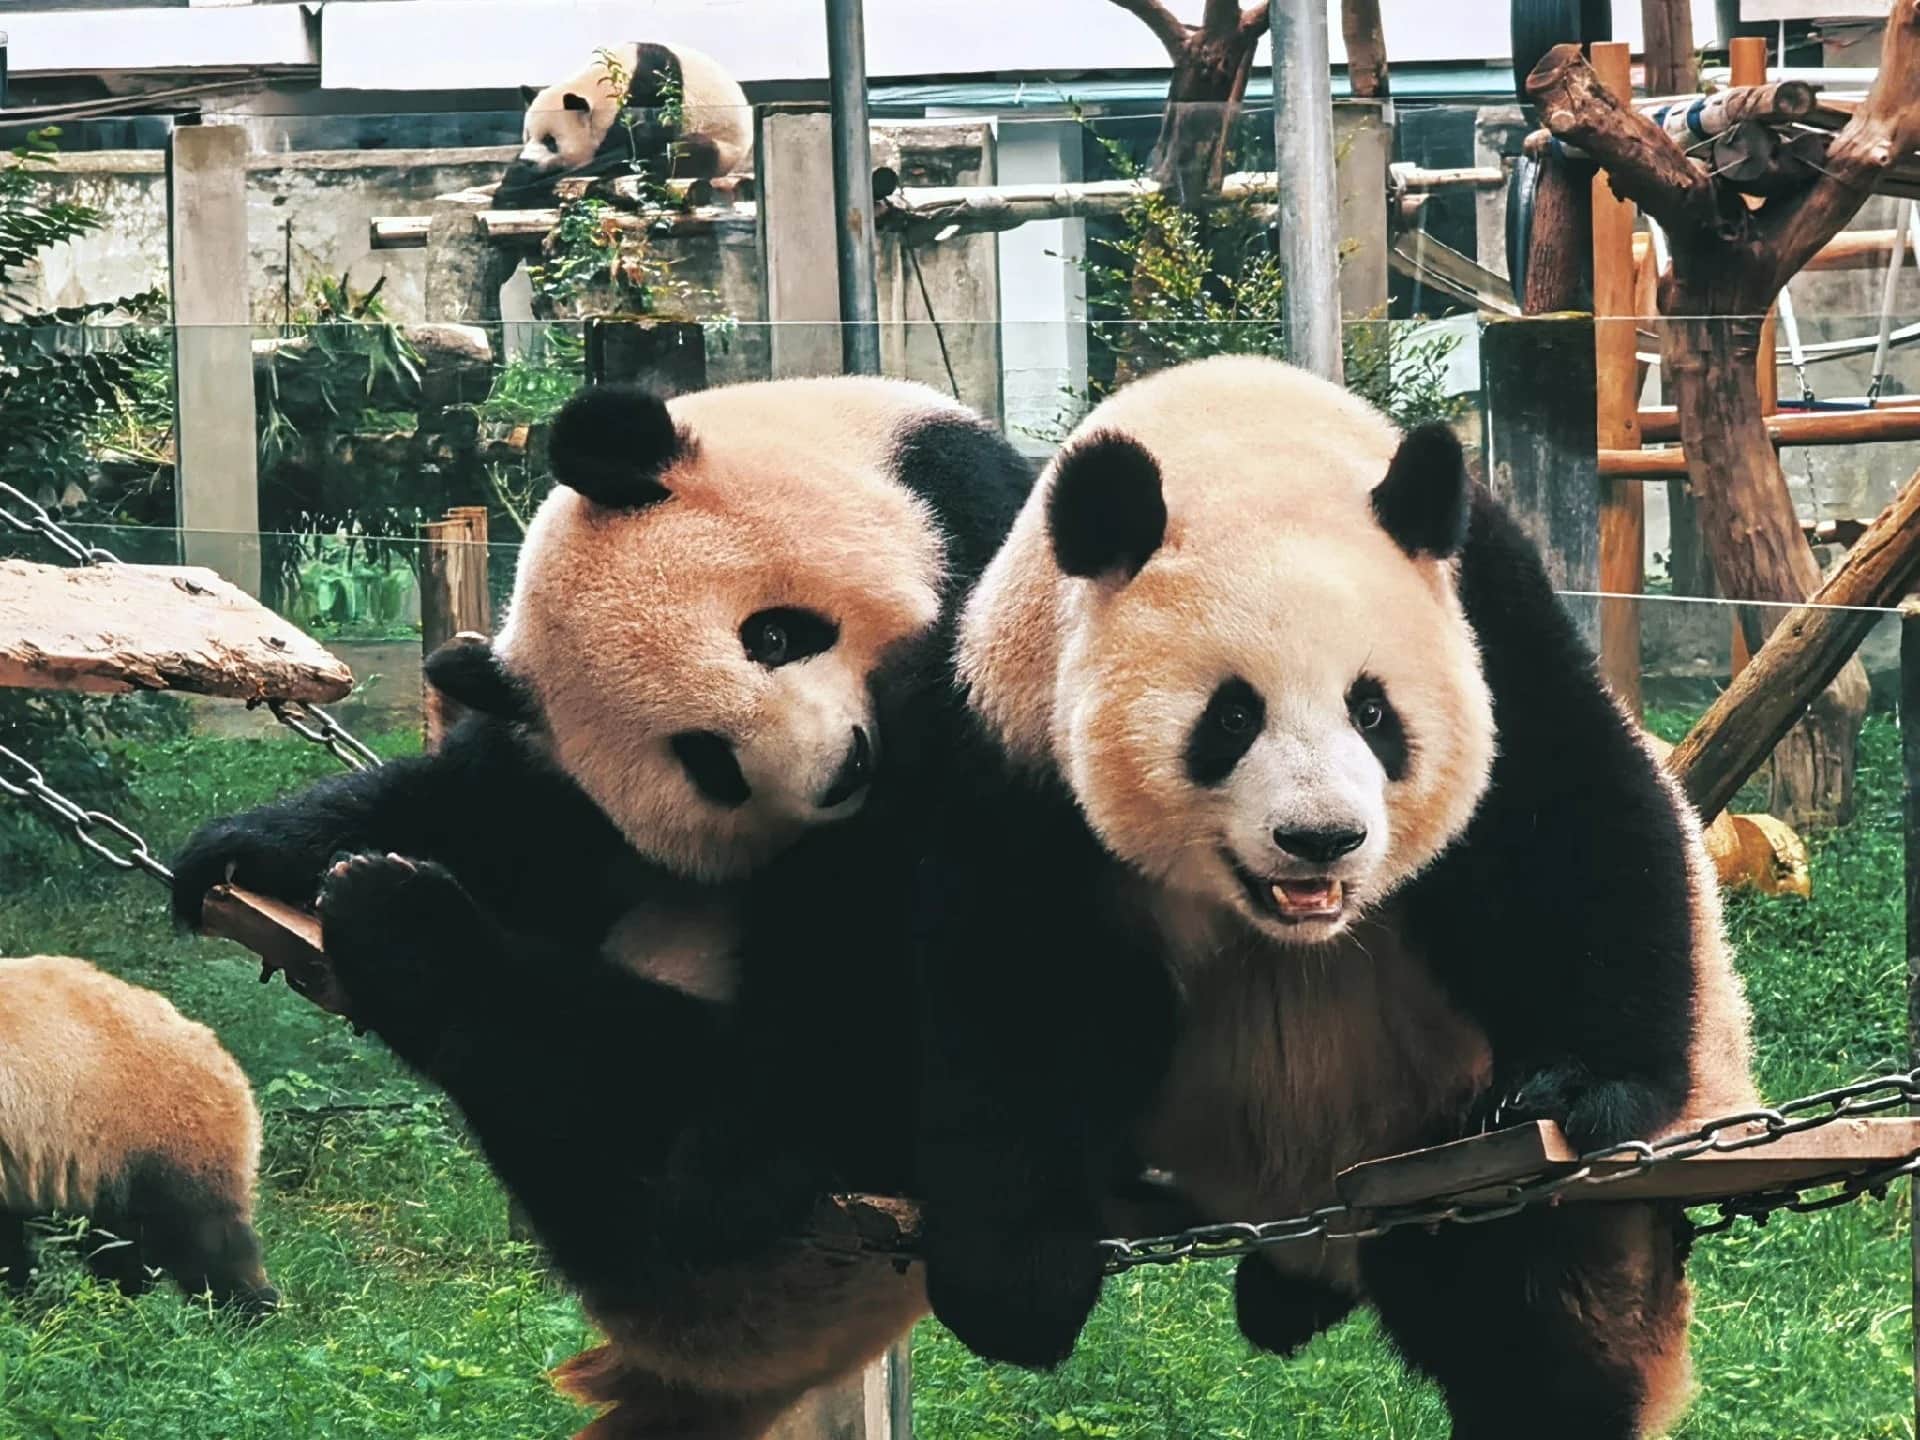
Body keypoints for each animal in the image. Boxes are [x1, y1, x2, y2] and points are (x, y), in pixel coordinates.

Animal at [171, 375, 1034, 1439]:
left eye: (775, 634)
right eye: (706, 763)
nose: (843, 771)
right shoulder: (560, 785)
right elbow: (495, 814)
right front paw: (250, 845)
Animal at [499, 42, 752, 204]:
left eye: (551, 141)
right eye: (527, 136)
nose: (528, 161)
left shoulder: (654, 89)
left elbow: (638, 147)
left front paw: (519, 182)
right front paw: (517, 172)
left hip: (722, 143)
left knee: (688, 152)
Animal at [913, 355, 1757, 1438]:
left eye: (1373, 711)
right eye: (1231, 715)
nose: (1321, 838)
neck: (1236, 439)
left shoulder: (1487, 617)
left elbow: (1567, 822)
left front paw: (1576, 1086)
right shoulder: (1017, 726)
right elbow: (1009, 974)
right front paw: (1018, 1278)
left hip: (1445, 1131)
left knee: (1533, 1313)